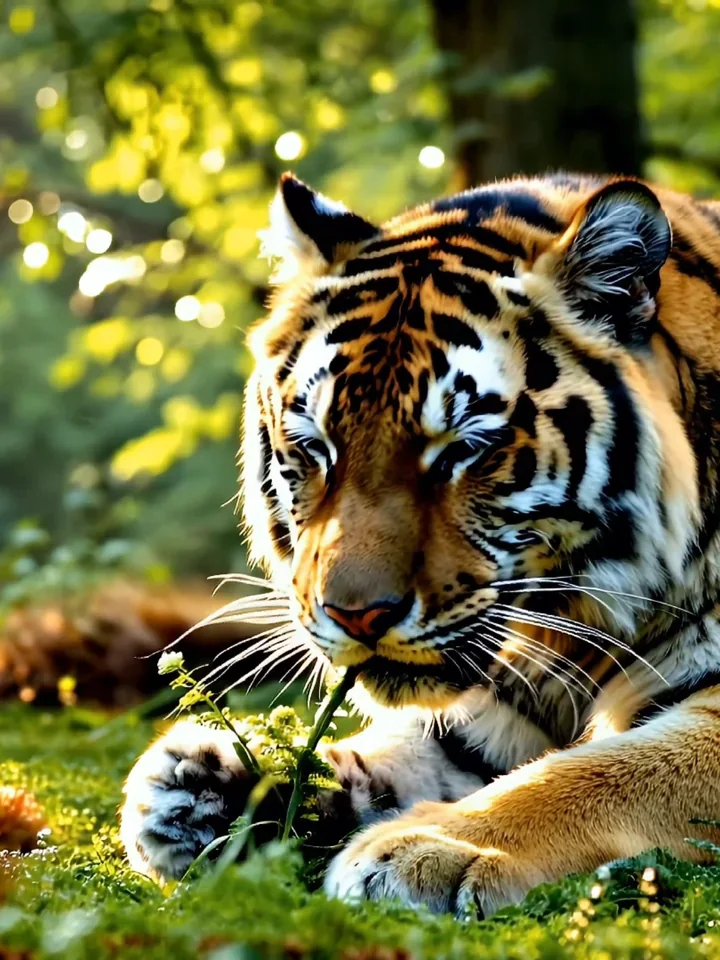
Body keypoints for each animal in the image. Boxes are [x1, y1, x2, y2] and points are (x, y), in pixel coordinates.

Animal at [120, 170, 720, 917]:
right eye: (316, 447)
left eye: (464, 448)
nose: (356, 615)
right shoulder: (490, 708)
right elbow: (401, 749)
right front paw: (210, 781)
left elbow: (608, 771)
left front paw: (430, 848)